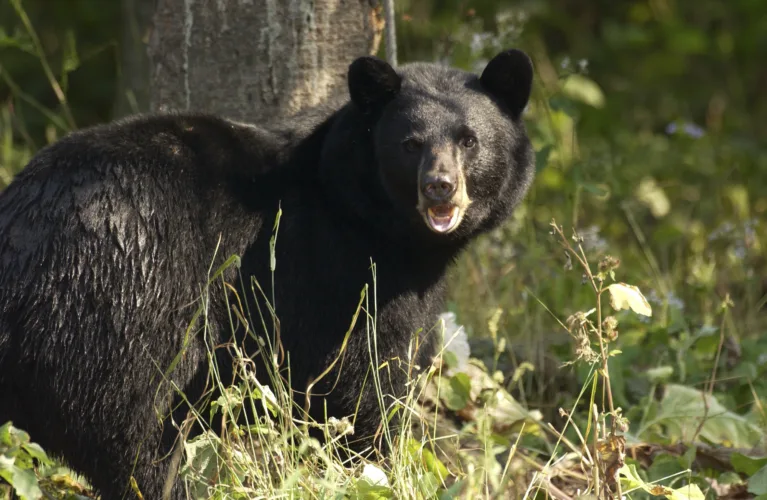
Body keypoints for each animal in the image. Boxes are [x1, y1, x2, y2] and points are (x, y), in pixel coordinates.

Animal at [0, 48, 535, 499]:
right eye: (409, 144)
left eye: (470, 141)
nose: (440, 186)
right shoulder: (332, 269)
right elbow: (361, 380)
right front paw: (374, 468)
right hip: (123, 304)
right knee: (138, 432)